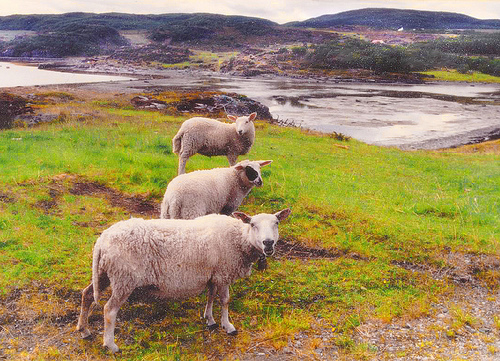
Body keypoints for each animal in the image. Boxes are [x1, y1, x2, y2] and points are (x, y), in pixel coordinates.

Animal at [75, 208, 292, 352]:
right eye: (253, 224)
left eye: (276, 223)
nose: (268, 243)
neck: (239, 239)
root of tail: (102, 240)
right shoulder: (223, 273)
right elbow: (224, 300)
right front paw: (228, 326)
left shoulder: (212, 274)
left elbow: (210, 296)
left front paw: (209, 319)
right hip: (124, 278)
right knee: (109, 310)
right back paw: (111, 344)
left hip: (104, 272)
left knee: (87, 294)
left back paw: (83, 329)